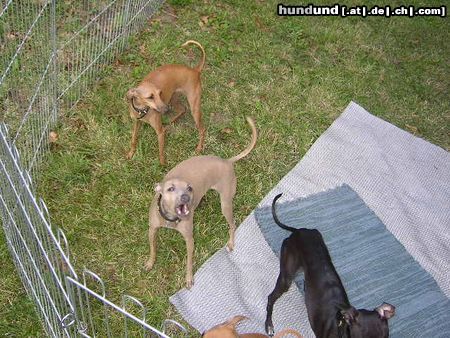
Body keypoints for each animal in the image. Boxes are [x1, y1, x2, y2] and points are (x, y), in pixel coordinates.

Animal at [144, 117, 256, 290]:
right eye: (170, 189)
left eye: (189, 188)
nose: (186, 197)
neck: (170, 220)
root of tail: (227, 161)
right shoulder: (152, 230)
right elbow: (153, 248)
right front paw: (150, 262)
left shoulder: (189, 240)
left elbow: (189, 262)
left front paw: (189, 278)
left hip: (226, 204)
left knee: (232, 225)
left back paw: (231, 242)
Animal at [266, 193, 396, 338]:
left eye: (386, 337)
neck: (340, 326)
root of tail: (298, 231)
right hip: (287, 275)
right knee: (271, 297)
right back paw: (269, 325)